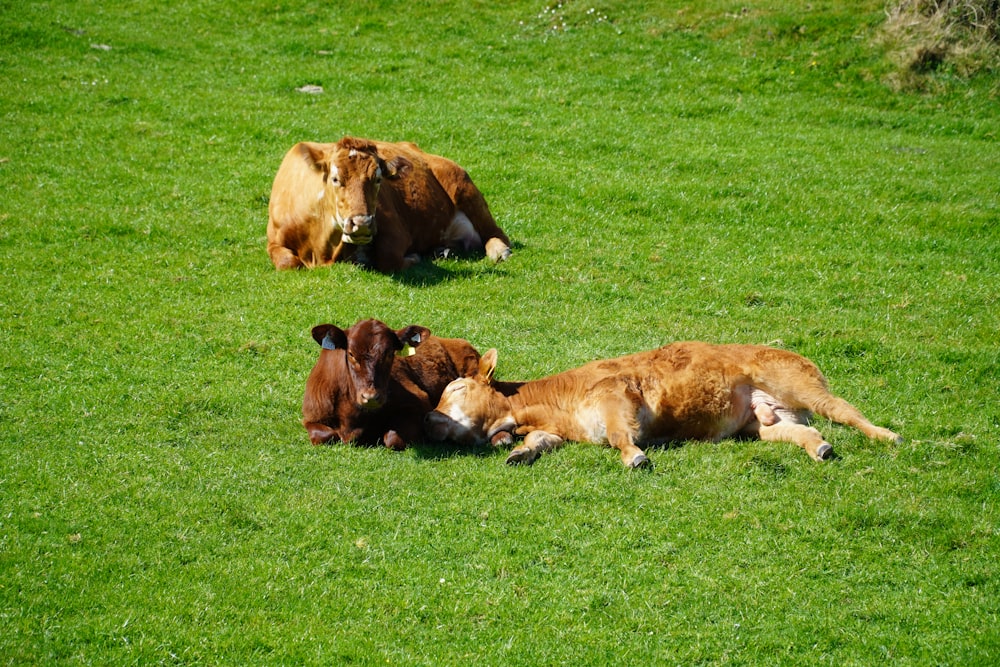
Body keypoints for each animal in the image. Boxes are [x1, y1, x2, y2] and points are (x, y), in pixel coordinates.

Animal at [266, 137, 512, 272]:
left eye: (377, 179)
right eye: (335, 179)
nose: (362, 223)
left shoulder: (395, 230)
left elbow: (388, 257)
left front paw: (413, 258)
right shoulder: (274, 240)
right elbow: (288, 262)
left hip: (463, 185)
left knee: (495, 232)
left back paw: (499, 251)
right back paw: (444, 251)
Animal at [300, 320, 480, 454]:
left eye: (389, 353)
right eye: (351, 354)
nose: (371, 397)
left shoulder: (419, 404)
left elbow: (393, 438)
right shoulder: (311, 414)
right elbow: (324, 435)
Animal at [426, 344, 904, 470]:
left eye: (456, 388)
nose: (429, 417)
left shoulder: (616, 398)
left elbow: (621, 436)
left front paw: (635, 457)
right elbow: (542, 441)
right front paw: (519, 452)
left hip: (802, 386)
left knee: (845, 411)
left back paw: (888, 435)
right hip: (764, 422)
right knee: (805, 431)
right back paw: (819, 449)